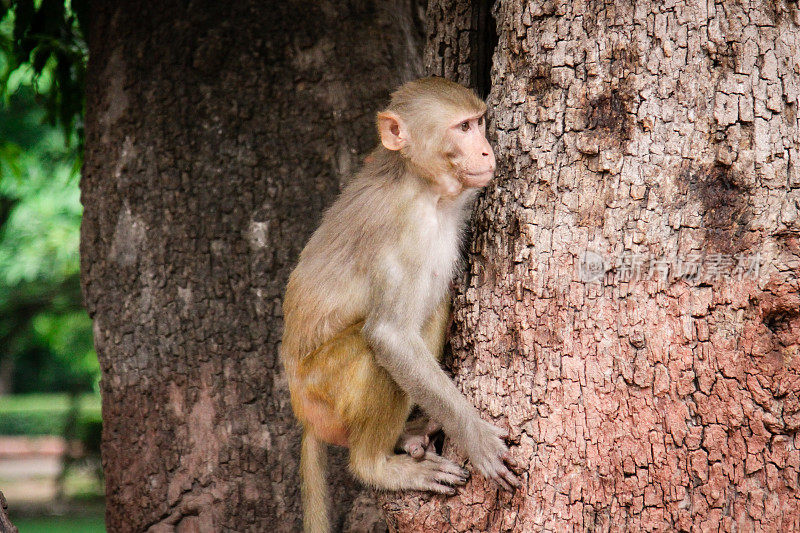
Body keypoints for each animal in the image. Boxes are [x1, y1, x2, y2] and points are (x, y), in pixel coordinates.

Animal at [282, 76, 520, 532]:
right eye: (463, 128)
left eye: (479, 122)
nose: (486, 151)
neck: (424, 187)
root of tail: (303, 416)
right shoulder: (398, 228)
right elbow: (389, 336)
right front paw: (475, 437)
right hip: (322, 391)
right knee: (373, 350)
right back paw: (376, 466)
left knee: (432, 303)